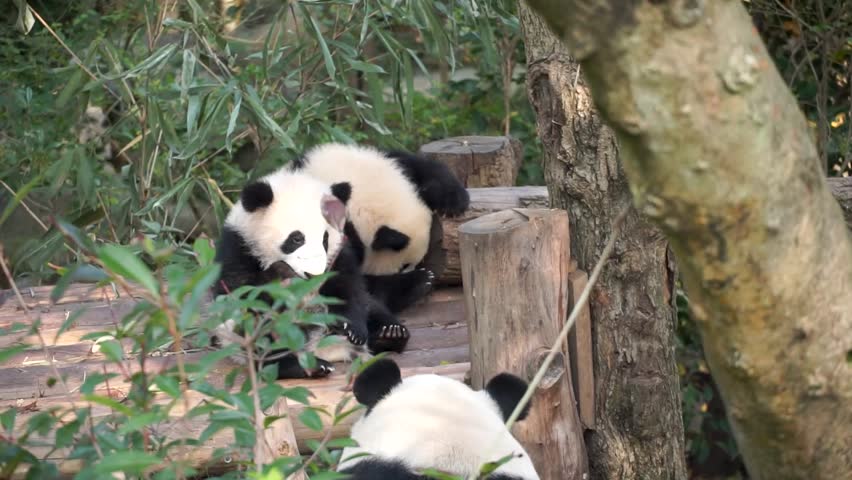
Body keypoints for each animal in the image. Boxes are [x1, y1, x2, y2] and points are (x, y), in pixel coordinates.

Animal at [211, 169, 408, 379]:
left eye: (325, 239)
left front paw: (354, 329)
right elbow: (247, 296)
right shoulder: (240, 250)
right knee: (263, 338)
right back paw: (302, 366)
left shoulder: (339, 255)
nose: (314, 274)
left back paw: (390, 334)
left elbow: (348, 287)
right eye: (296, 238)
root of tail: (321, 348)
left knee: (372, 307)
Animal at [291, 143, 469, 314]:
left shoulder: (390, 161)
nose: (413, 270)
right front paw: (418, 281)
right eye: (403, 266)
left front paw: (453, 202)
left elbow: (421, 166)